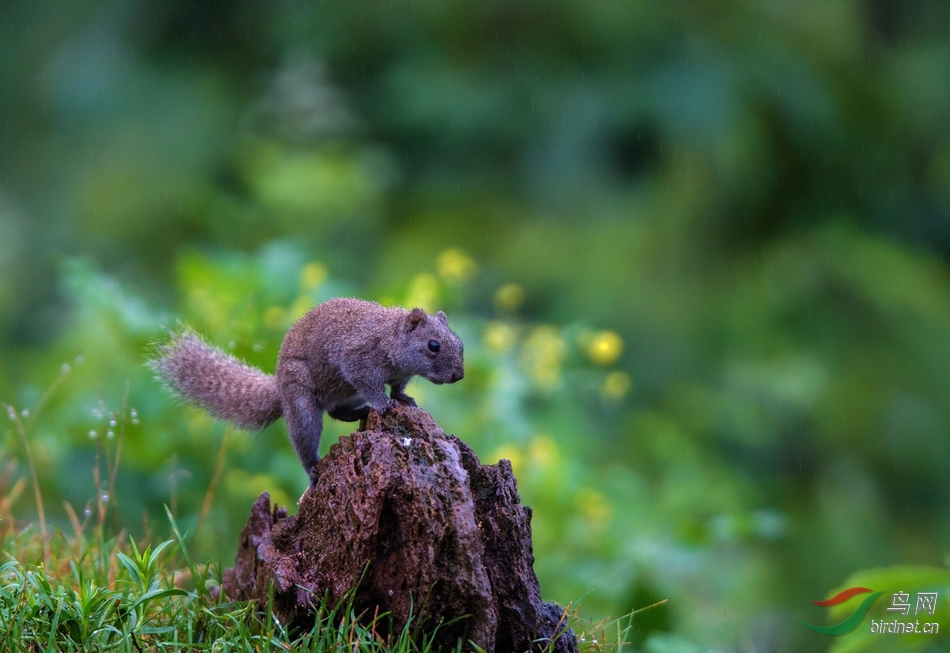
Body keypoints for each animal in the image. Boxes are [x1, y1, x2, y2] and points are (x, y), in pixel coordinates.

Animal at [151, 298, 466, 486]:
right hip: (302, 406)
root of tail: (278, 386)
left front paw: (403, 398)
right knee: (308, 439)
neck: (389, 336)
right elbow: (371, 384)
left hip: (343, 393)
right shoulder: (356, 360)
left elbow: (398, 386)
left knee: (338, 411)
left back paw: (360, 412)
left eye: (460, 344)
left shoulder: (400, 374)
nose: (458, 376)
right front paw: (383, 404)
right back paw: (314, 468)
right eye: (433, 345)